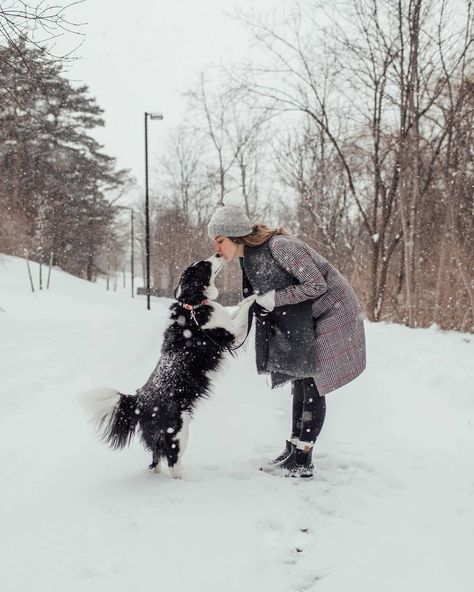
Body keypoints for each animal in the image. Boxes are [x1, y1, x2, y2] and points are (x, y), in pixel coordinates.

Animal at [80, 256, 256, 478]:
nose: (217, 254)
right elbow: (242, 313)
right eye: (204, 265)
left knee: (156, 458)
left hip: (160, 434)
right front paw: (257, 297)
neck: (192, 305)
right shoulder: (229, 335)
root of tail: (138, 400)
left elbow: (236, 311)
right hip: (178, 430)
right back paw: (182, 480)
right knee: (172, 460)